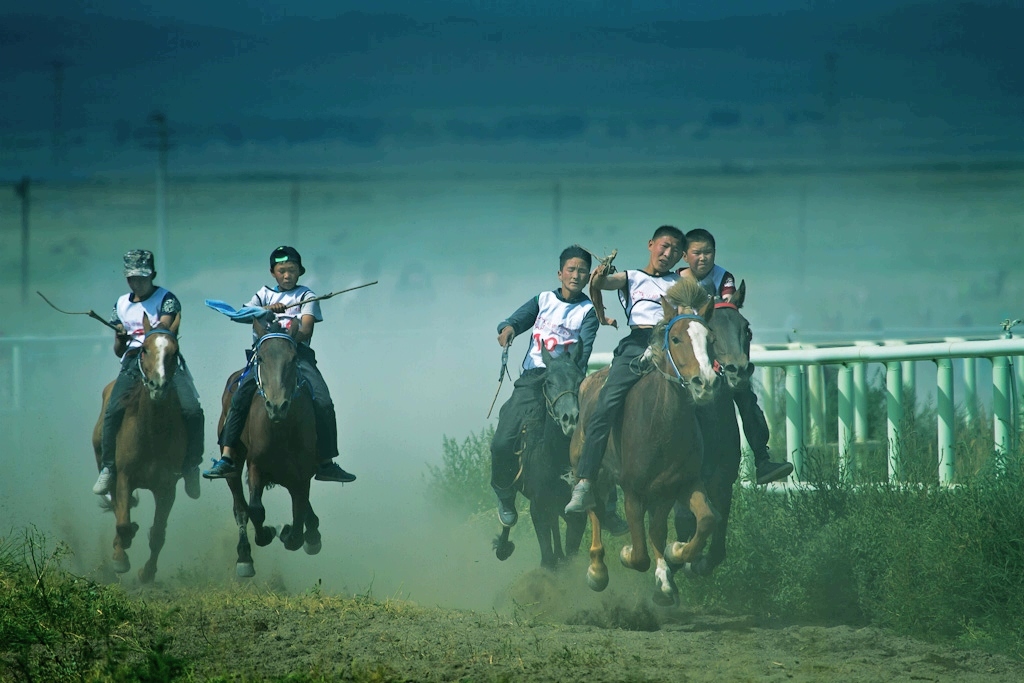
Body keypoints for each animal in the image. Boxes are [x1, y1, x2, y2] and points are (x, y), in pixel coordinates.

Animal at [91, 317, 186, 585]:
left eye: (174, 352)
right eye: (144, 349)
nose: (158, 385)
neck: (151, 432)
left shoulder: (167, 486)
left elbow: (158, 533)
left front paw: (147, 572)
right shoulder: (124, 477)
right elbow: (123, 522)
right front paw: (121, 558)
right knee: (116, 508)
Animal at [218, 319, 321, 577]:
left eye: (294, 358)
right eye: (262, 358)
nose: (277, 406)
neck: (280, 429)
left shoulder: (302, 474)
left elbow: (298, 514)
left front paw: (288, 532)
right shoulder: (256, 464)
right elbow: (255, 509)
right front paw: (268, 533)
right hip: (234, 462)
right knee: (240, 507)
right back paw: (244, 556)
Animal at [493, 344, 589, 569]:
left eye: (580, 378)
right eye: (549, 382)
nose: (571, 419)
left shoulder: (576, 515)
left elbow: (570, 553)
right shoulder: (538, 510)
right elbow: (547, 559)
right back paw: (503, 545)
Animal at [569, 274, 720, 606]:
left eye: (711, 339)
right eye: (675, 339)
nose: (705, 383)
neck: (661, 426)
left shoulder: (680, 484)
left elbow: (703, 521)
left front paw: (675, 556)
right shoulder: (633, 491)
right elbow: (637, 553)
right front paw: (627, 555)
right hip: (588, 465)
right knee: (593, 506)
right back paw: (597, 570)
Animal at [675, 280, 757, 573]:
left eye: (747, 329)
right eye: (711, 333)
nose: (738, 371)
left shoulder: (724, 476)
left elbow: (718, 519)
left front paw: (698, 561)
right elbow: (684, 518)